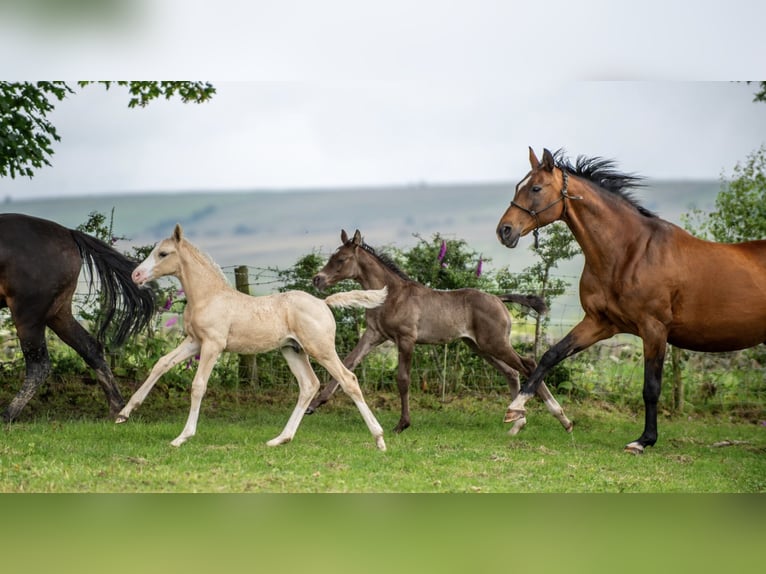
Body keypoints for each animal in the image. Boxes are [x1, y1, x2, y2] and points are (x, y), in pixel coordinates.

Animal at [0, 214, 156, 420]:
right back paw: (117, 409)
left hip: (28, 314)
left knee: (39, 365)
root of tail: (68, 233)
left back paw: (7, 415)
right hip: (58, 313)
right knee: (91, 349)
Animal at [119, 225, 390, 454]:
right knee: (309, 385)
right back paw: (280, 439)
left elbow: (198, 386)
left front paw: (182, 437)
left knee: (348, 380)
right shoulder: (194, 341)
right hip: (292, 350)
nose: (136, 275)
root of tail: (324, 302)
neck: (209, 296)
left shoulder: (213, 345)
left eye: (163, 253)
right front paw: (124, 413)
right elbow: (161, 364)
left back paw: (379, 439)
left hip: (320, 349)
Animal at [308, 230, 572, 436]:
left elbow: (403, 379)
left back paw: (562, 419)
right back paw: (517, 423)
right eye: (332, 257)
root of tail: (498, 298)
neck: (391, 295)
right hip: (480, 346)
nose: (317, 279)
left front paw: (402, 424)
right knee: (511, 372)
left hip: (495, 343)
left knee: (528, 364)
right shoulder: (374, 335)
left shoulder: (406, 339)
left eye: (341, 259)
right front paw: (315, 404)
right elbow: (347, 363)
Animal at [498, 148, 766, 454]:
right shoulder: (599, 323)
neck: (630, 252)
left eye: (536, 188)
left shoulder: (654, 330)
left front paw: (644, 440)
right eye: (519, 186)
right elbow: (550, 356)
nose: (504, 230)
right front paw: (517, 407)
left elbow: (651, 388)